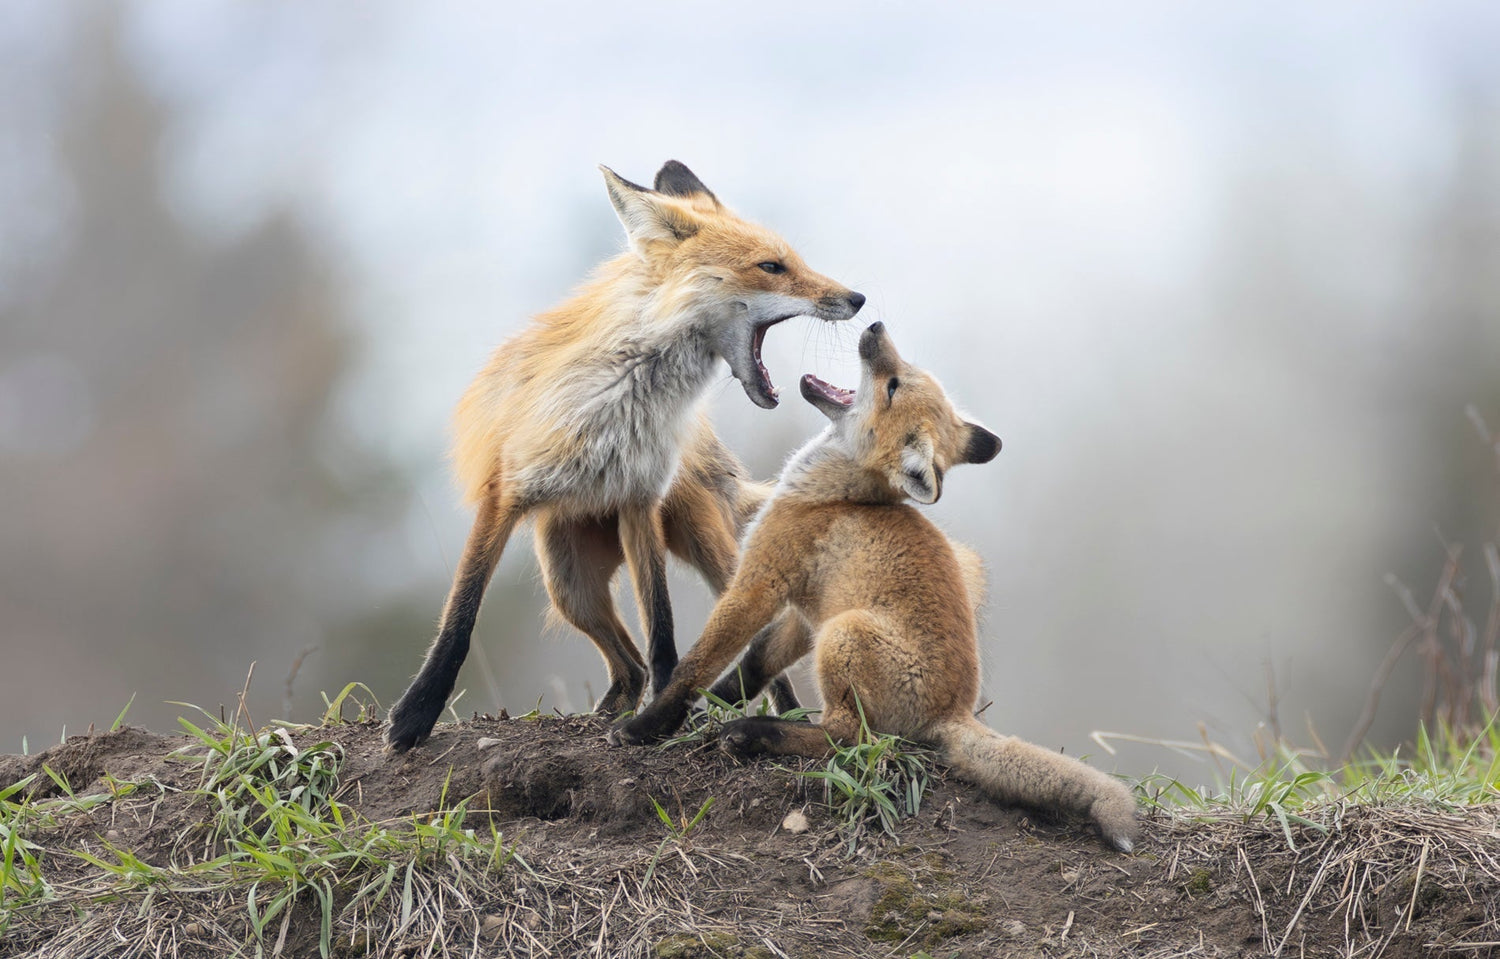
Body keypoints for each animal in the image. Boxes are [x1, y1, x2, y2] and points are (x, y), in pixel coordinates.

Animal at [385, 161, 864, 753]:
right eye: (772, 267)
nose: (858, 298)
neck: (625, 400)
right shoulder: (506, 494)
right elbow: (459, 620)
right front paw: (416, 714)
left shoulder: (640, 502)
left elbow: (662, 628)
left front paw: (666, 712)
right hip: (570, 586)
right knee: (628, 667)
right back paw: (613, 709)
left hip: (709, 556)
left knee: (741, 641)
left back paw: (777, 715)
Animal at [611, 322, 1139, 852]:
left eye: (892, 385)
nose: (874, 326)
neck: (838, 493)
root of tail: (955, 712)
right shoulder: (807, 612)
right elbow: (755, 665)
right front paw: (716, 703)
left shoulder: (762, 583)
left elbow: (694, 666)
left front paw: (646, 726)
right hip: (834, 630)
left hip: (845, 633)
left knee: (847, 738)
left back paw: (755, 734)